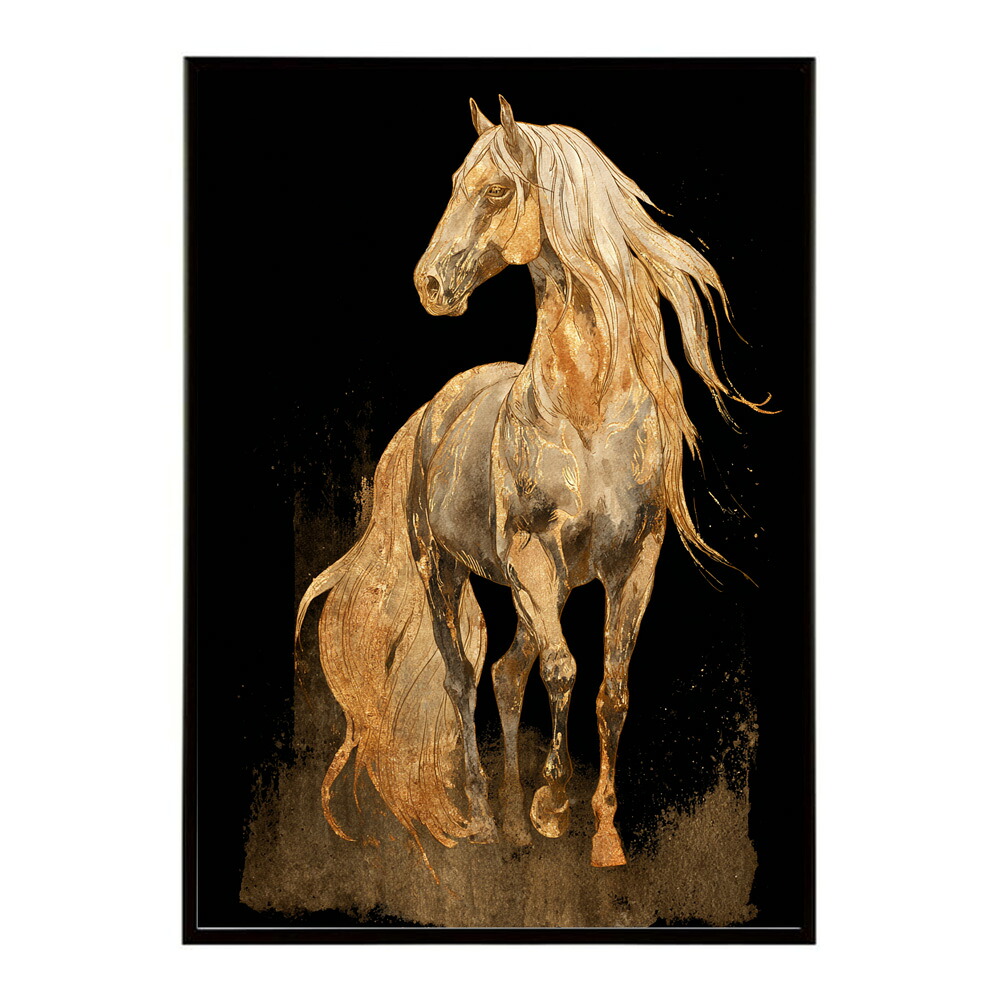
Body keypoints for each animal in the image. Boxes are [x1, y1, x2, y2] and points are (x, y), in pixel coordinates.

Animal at [295, 96, 770, 869]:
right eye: (454, 183)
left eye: (494, 191)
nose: (430, 284)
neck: (587, 411)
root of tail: (433, 412)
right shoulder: (532, 558)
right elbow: (563, 671)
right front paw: (555, 806)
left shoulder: (631, 566)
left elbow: (610, 689)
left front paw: (603, 835)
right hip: (448, 571)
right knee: (465, 677)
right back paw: (485, 816)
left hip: (541, 584)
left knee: (505, 672)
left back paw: (514, 824)